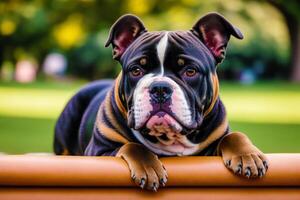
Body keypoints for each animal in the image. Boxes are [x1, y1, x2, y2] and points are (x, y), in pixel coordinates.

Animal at [54, 12, 270, 191]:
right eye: (136, 70)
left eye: (190, 71)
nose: (159, 87)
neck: (169, 138)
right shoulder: (98, 152)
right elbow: (133, 146)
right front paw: (149, 168)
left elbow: (233, 136)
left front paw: (247, 156)